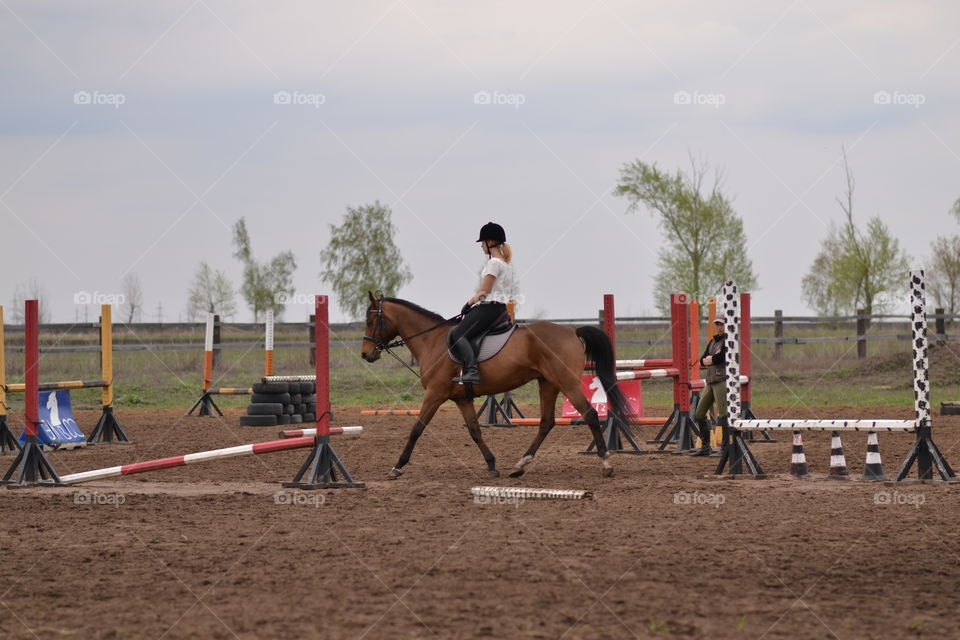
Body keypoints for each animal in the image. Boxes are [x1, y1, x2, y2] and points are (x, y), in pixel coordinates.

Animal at [360, 292, 636, 479]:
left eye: (370, 321)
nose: (366, 354)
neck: (432, 340)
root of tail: (572, 331)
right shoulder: (462, 398)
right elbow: (474, 430)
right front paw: (492, 465)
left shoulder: (435, 394)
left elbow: (417, 428)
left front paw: (397, 466)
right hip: (548, 384)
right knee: (546, 422)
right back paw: (520, 465)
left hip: (567, 383)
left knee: (590, 415)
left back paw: (606, 463)